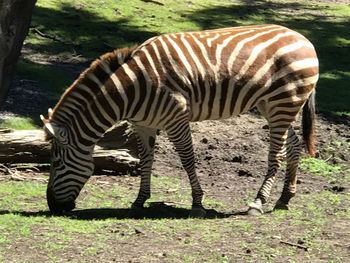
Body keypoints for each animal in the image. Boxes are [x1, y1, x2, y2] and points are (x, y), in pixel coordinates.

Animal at [40, 24, 318, 218]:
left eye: (56, 162)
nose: (52, 206)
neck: (130, 89)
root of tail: (303, 38)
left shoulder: (176, 118)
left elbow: (187, 159)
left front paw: (197, 203)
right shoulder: (143, 124)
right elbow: (146, 161)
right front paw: (139, 201)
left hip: (282, 103)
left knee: (277, 155)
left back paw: (258, 203)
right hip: (272, 106)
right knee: (293, 146)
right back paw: (284, 199)